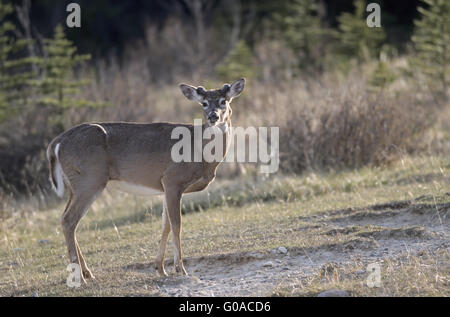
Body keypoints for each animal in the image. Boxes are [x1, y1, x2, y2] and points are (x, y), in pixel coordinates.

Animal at [45, 77, 246, 282]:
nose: (213, 117)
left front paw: (160, 268)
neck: (199, 152)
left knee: (66, 219)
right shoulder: (173, 179)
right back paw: (81, 278)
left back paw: (88, 273)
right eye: (203, 103)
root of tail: (56, 142)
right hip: (90, 180)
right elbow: (176, 224)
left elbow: (165, 225)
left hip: (75, 185)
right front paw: (180, 269)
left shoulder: (165, 186)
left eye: (223, 101)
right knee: (69, 220)